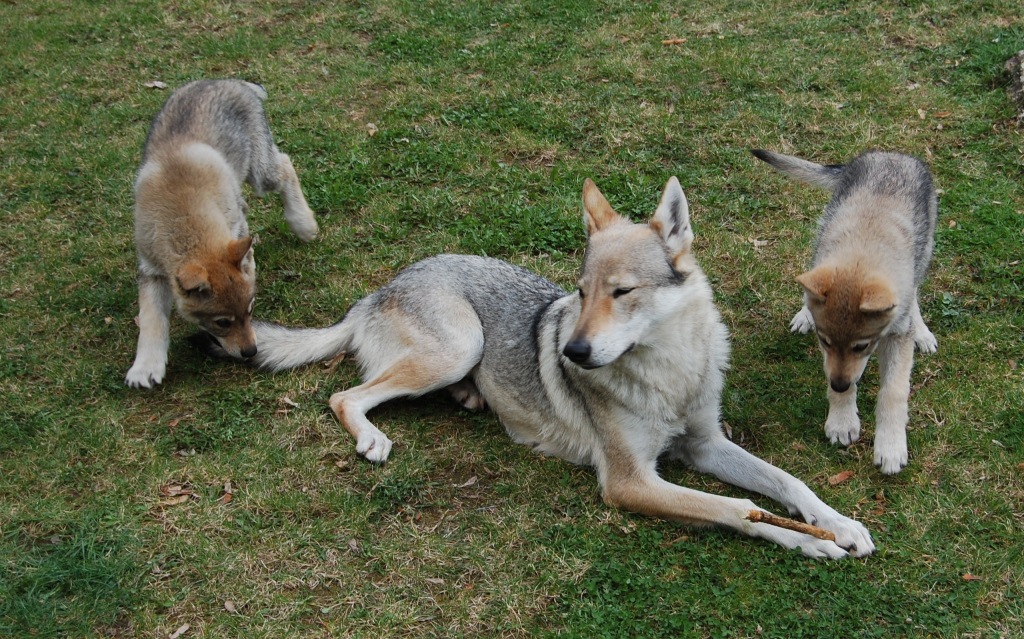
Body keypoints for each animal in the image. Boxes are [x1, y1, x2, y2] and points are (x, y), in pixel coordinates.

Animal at [124, 79, 317, 389]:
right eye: (222, 322)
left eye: (251, 310)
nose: (251, 352)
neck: (183, 215)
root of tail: (230, 81)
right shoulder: (152, 270)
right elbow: (151, 318)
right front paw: (145, 367)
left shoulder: (232, 227)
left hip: (260, 173)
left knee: (286, 165)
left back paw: (303, 222)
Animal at [205, 177, 872, 557]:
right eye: (580, 292)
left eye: (621, 293)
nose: (570, 353)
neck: (669, 374)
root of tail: (380, 289)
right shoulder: (631, 482)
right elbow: (739, 509)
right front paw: (804, 541)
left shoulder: (705, 445)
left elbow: (787, 483)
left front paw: (838, 524)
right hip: (458, 347)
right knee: (346, 396)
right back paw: (372, 437)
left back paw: (470, 399)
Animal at [753, 149, 937, 475]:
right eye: (824, 341)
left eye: (862, 346)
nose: (839, 386)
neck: (864, 247)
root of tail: (889, 154)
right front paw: (842, 421)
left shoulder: (896, 338)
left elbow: (893, 392)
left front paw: (890, 447)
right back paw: (804, 313)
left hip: (925, 249)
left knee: (914, 293)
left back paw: (923, 332)